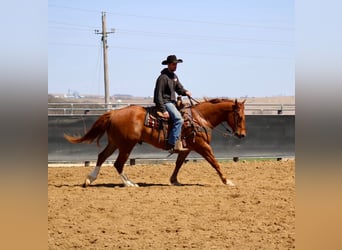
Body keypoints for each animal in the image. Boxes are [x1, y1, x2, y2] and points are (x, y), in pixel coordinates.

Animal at [64, 98, 246, 187]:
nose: (242, 134)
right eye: (240, 116)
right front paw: (227, 181)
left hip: (115, 143)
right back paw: (130, 184)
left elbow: (179, 163)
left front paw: (174, 180)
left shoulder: (187, 148)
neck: (199, 118)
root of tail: (114, 112)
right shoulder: (202, 146)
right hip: (126, 145)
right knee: (118, 163)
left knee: (102, 157)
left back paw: (90, 179)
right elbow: (215, 163)